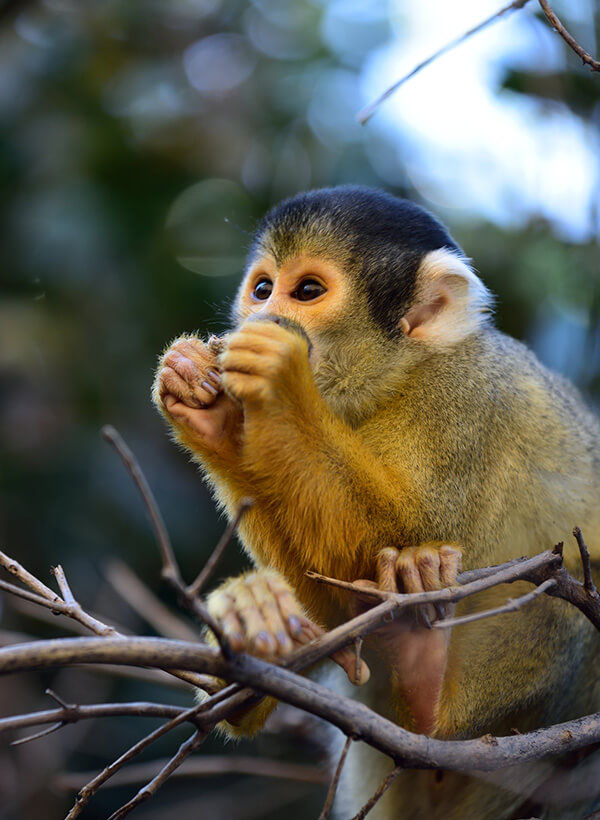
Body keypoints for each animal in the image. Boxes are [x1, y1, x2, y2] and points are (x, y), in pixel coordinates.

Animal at [155, 187, 600, 820]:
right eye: (263, 288)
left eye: (306, 292)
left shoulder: (463, 392)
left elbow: (407, 529)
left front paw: (280, 380)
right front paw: (210, 410)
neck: (398, 375)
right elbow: (338, 605)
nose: (261, 316)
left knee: (561, 594)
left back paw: (424, 672)